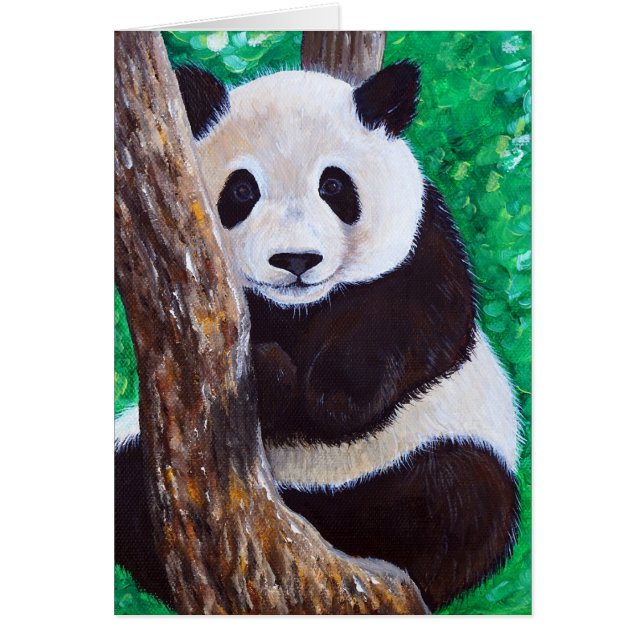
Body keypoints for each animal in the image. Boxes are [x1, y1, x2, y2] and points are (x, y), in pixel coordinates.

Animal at [115, 60, 520, 613]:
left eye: (333, 186)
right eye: (242, 190)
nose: (295, 260)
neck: (299, 311)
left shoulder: (424, 243)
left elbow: (421, 320)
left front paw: (327, 393)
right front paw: (270, 374)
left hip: (444, 443)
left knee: (458, 498)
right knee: (130, 486)